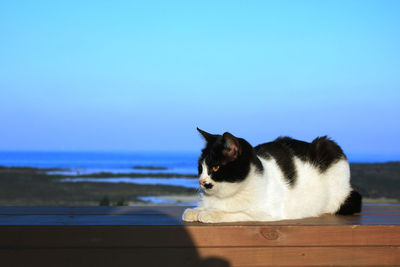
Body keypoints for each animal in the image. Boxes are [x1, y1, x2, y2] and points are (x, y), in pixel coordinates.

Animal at [183, 128, 360, 224]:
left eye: (215, 167)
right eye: (200, 168)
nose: (201, 181)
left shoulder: (267, 213)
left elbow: (238, 213)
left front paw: (210, 213)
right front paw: (195, 210)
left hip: (330, 147)